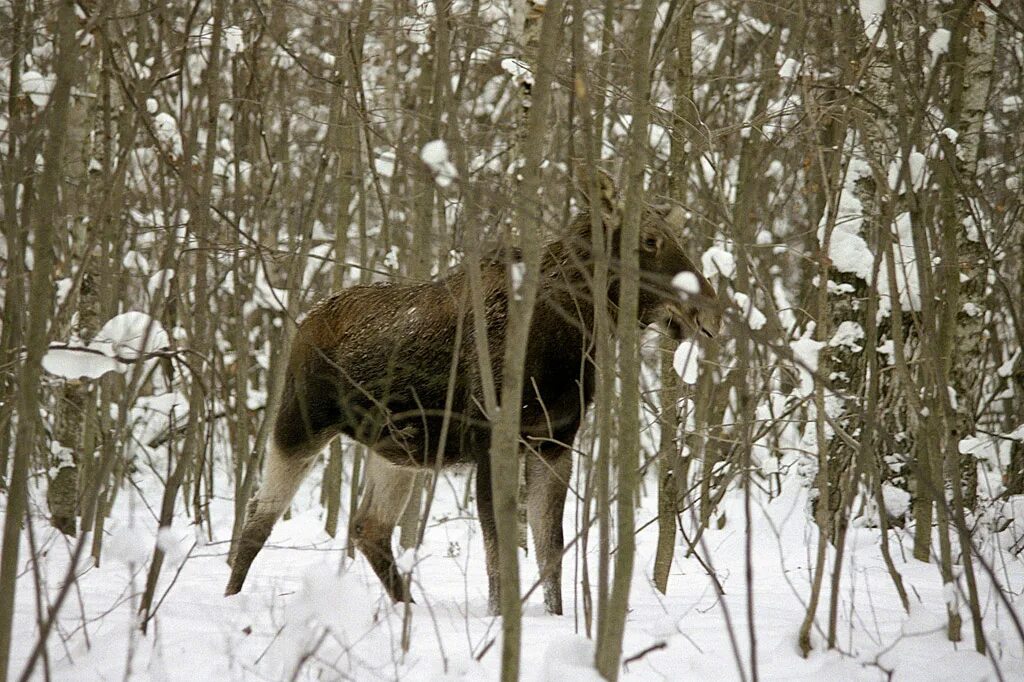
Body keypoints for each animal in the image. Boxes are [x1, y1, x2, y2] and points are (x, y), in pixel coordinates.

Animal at [224, 178, 720, 614]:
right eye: (650, 240)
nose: (706, 309)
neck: (569, 336)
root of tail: (304, 322)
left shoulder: (554, 441)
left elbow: (549, 550)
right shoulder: (492, 441)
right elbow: (500, 551)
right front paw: (500, 619)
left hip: (397, 451)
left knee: (369, 528)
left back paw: (407, 608)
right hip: (299, 425)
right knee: (257, 519)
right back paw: (232, 599)